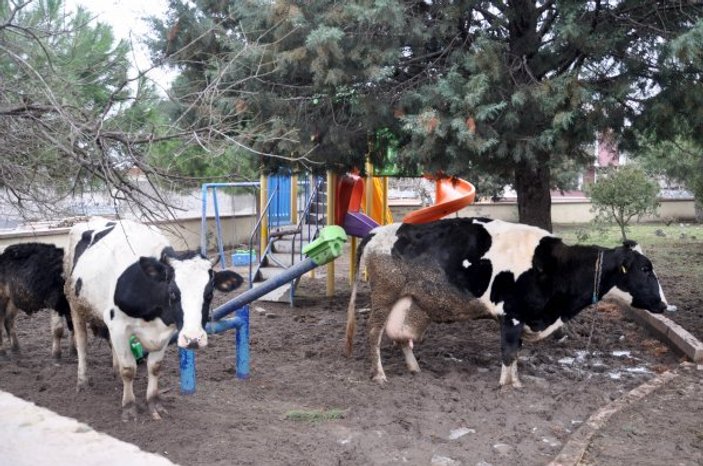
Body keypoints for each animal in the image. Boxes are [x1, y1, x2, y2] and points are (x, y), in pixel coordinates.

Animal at [64, 217, 243, 420]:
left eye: (210, 294)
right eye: (172, 292)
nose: (194, 339)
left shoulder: (166, 331)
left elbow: (155, 367)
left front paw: (153, 403)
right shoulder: (118, 325)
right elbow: (129, 369)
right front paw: (129, 407)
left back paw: (114, 372)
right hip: (75, 303)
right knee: (82, 343)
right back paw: (82, 381)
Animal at [344, 218, 672, 386]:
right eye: (645, 269)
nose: (663, 305)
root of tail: (380, 230)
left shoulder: (523, 316)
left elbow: (516, 354)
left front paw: (516, 382)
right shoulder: (512, 315)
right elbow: (509, 351)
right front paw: (506, 386)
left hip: (411, 301)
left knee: (401, 335)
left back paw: (413, 368)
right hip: (384, 294)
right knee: (373, 333)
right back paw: (379, 374)